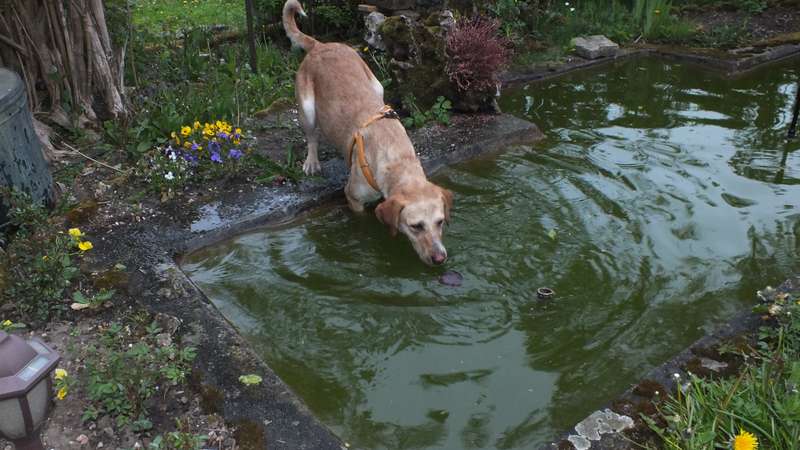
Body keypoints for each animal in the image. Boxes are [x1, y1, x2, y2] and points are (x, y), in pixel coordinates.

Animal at [284, 0, 454, 268]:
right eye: (415, 226)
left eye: (439, 222)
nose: (439, 258)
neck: (397, 159)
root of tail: (320, 45)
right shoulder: (353, 198)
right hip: (307, 109)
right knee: (311, 137)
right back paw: (312, 162)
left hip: (377, 84)